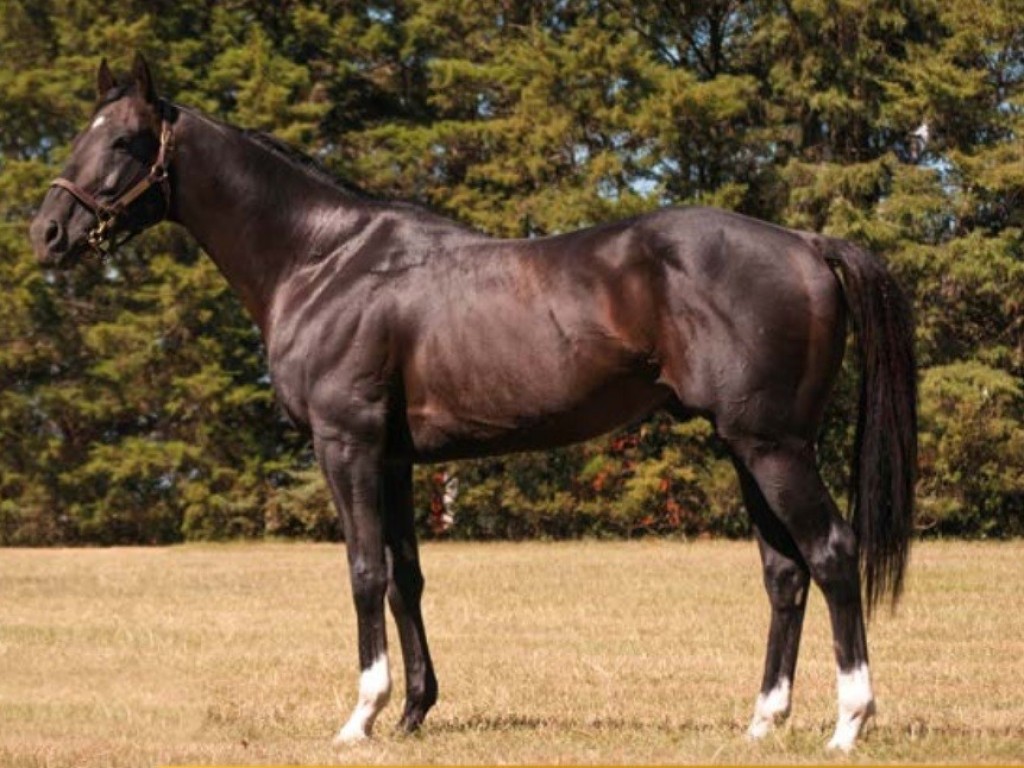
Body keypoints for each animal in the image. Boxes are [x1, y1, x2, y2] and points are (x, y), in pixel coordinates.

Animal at [28, 55, 917, 753]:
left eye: (124, 141)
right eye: (82, 134)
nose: (46, 233)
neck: (324, 260)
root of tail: (807, 244)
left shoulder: (346, 444)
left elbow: (363, 571)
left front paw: (360, 717)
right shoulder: (393, 459)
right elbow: (405, 579)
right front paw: (414, 712)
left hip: (774, 446)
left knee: (831, 553)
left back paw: (850, 723)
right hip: (744, 446)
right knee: (784, 573)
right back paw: (764, 722)